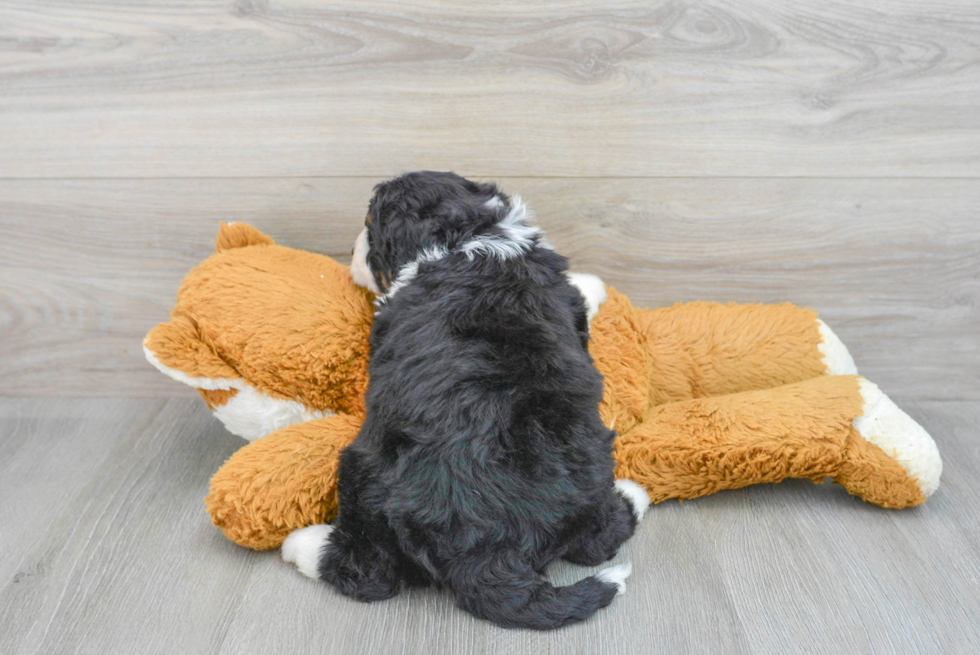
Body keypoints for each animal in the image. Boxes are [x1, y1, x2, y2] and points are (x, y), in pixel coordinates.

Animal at [284, 173, 652, 632]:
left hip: (361, 473)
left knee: (368, 571)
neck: (466, 235)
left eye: (370, 226)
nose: (350, 253)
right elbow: (577, 294)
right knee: (601, 537)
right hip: (590, 468)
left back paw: (300, 545)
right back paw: (633, 493)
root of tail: (488, 552)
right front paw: (595, 285)